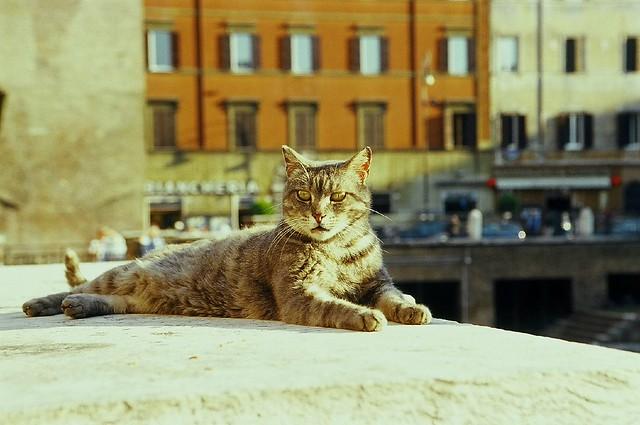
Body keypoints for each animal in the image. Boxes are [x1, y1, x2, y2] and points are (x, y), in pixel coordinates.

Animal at [23, 146, 430, 332]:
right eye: (303, 195)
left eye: (338, 196)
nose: (318, 214)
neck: (339, 251)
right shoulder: (299, 294)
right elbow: (336, 307)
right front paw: (364, 315)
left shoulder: (378, 283)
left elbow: (396, 297)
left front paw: (412, 309)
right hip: (121, 272)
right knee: (79, 285)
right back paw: (44, 303)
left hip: (133, 298)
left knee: (113, 301)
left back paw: (80, 306)